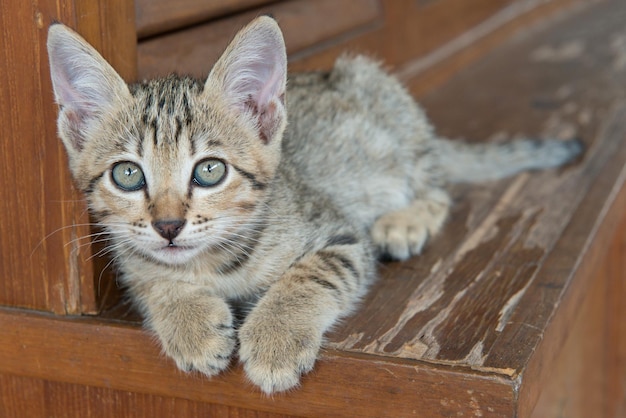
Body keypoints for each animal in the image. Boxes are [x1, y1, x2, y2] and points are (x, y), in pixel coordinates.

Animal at [47, 17, 580, 396]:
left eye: (210, 170)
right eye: (128, 175)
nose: (168, 225)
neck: (215, 262)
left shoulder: (340, 234)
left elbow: (308, 275)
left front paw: (275, 338)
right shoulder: (131, 258)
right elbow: (153, 279)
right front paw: (190, 323)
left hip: (387, 106)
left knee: (438, 187)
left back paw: (406, 220)